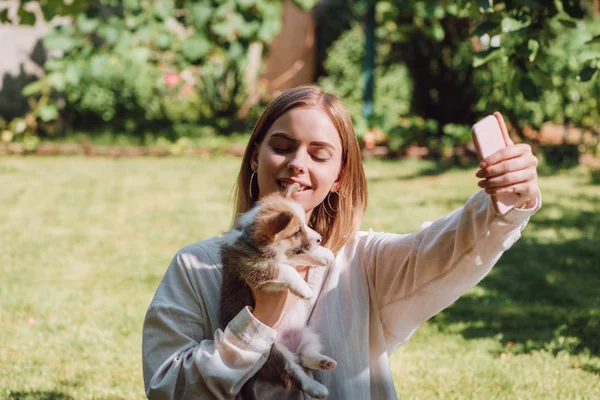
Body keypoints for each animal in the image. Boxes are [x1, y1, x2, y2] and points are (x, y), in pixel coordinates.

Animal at [219, 184, 338, 400]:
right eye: (297, 232)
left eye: (304, 226)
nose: (320, 239)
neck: (254, 244)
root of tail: (292, 347)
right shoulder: (255, 270)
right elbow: (284, 269)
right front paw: (304, 289)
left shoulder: (287, 257)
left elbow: (300, 256)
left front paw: (324, 254)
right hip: (273, 353)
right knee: (293, 373)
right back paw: (316, 388)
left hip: (307, 334)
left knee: (306, 355)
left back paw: (324, 362)